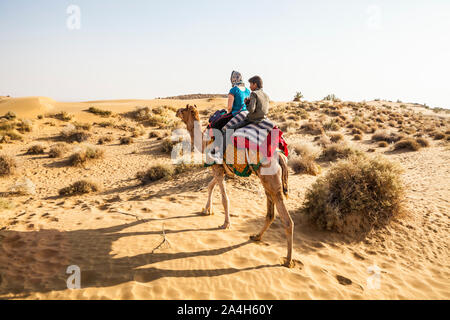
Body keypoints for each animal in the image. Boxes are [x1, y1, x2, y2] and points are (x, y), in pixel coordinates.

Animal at [176, 104, 296, 266]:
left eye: (183, 110)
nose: (176, 112)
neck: (204, 141)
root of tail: (280, 158)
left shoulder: (217, 168)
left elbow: (224, 199)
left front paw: (225, 224)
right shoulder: (222, 169)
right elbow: (210, 186)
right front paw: (206, 210)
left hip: (272, 183)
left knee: (287, 220)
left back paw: (288, 260)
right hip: (267, 182)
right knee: (270, 214)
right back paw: (256, 236)